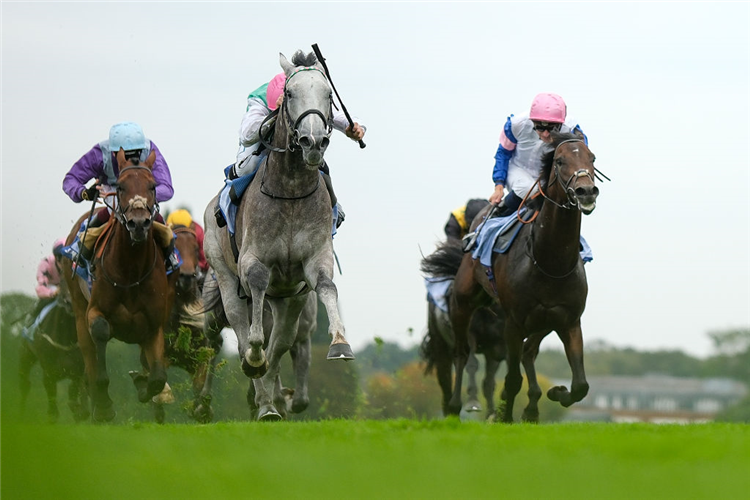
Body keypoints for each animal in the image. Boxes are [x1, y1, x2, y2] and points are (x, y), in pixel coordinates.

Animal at [19, 254, 89, 422]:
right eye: (64, 279)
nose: (70, 302)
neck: (65, 337)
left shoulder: (78, 370)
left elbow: (78, 401)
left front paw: (77, 408)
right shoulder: (49, 373)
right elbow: (53, 412)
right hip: (25, 355)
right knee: (24, 384)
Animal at [62, 149, 178, 422]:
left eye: (153, 186)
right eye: (121, 187)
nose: (139, 223)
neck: (131, 270)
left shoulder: (154, 325)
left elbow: (158, 377)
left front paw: (145, 385)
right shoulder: (95, 311)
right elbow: (101, 332)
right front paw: (104, 405)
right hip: (78, 310)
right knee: (88, 356)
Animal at [203, 50, 356, 420]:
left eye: (329, 95)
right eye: (289, 93)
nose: (313, 141)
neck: (291, 191)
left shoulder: (312, 261)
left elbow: (326, 287)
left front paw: (340, 343)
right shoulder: (253, 259)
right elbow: (255, 320)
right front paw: (255, 361)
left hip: (290, 299)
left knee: (283, 340)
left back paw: (271, 399)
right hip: (224, 276)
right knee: (242, 329)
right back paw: (261, 394)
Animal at [420, 240, 508, 420]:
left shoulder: (497, 346)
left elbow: (489, 381)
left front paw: (494, 414)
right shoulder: (469, 336)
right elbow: (472, 364)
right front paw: (472, 402)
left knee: (487, 381)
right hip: (440, 344)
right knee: (445, 380)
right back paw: (450, 411)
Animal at [450, 132, 604, 422]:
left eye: (592, 158)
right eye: (559, 161)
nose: (586, 191)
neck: (550, 262)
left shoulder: (569, 321)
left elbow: (581, 385)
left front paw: (556, 392)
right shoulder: (513, 323)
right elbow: (511, 380)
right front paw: (504, 417)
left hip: (543, 322)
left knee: (529, 352)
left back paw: (532, 407)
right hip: (463, 302)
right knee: (462, 352)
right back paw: (455, 406)